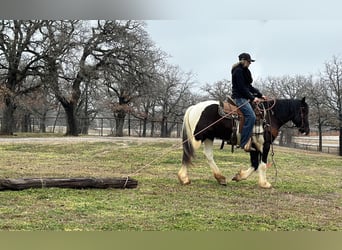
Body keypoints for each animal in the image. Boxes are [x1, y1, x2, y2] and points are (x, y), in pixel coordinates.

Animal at [179, 96, 310, 188]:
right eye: (304, 111)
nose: (306, 130)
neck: (270, 117)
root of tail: (193, 107)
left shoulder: (254, 146)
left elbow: (255, 164)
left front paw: (239, 176)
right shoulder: (265, 145)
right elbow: (262, 164)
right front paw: (264, 183)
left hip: (208, 137)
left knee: (208, 155)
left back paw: (220, 178)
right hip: (197, 138)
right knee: (187, 153)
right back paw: (184, 178)